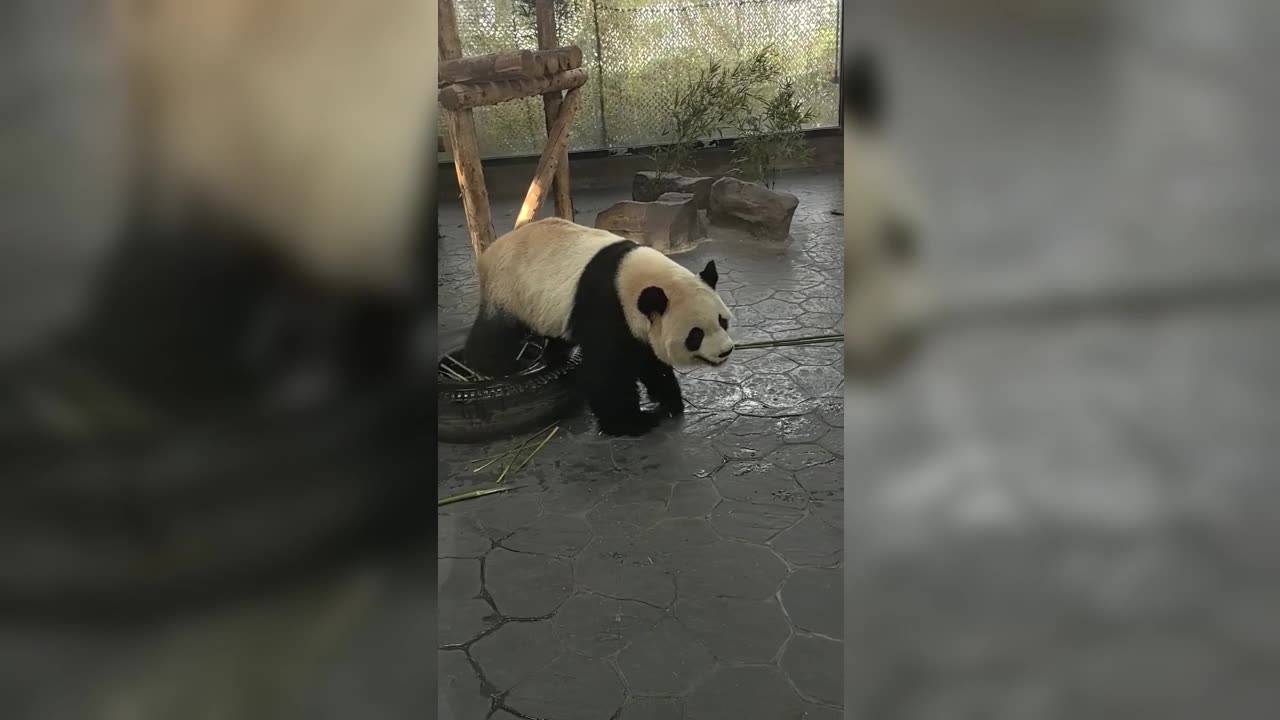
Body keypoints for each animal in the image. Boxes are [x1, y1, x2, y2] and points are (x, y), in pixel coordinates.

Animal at [465, 215, 737, 435]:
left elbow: (647, 359)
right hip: (508, 290)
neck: (628, 279)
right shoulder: (604, 307)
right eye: (695, 335)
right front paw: (632, 423)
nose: (725, 351)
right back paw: (487, 365)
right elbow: (607, 369)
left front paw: (669, 400)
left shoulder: (634, 324)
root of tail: (489, 252)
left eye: (722, 321)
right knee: (496, 333)